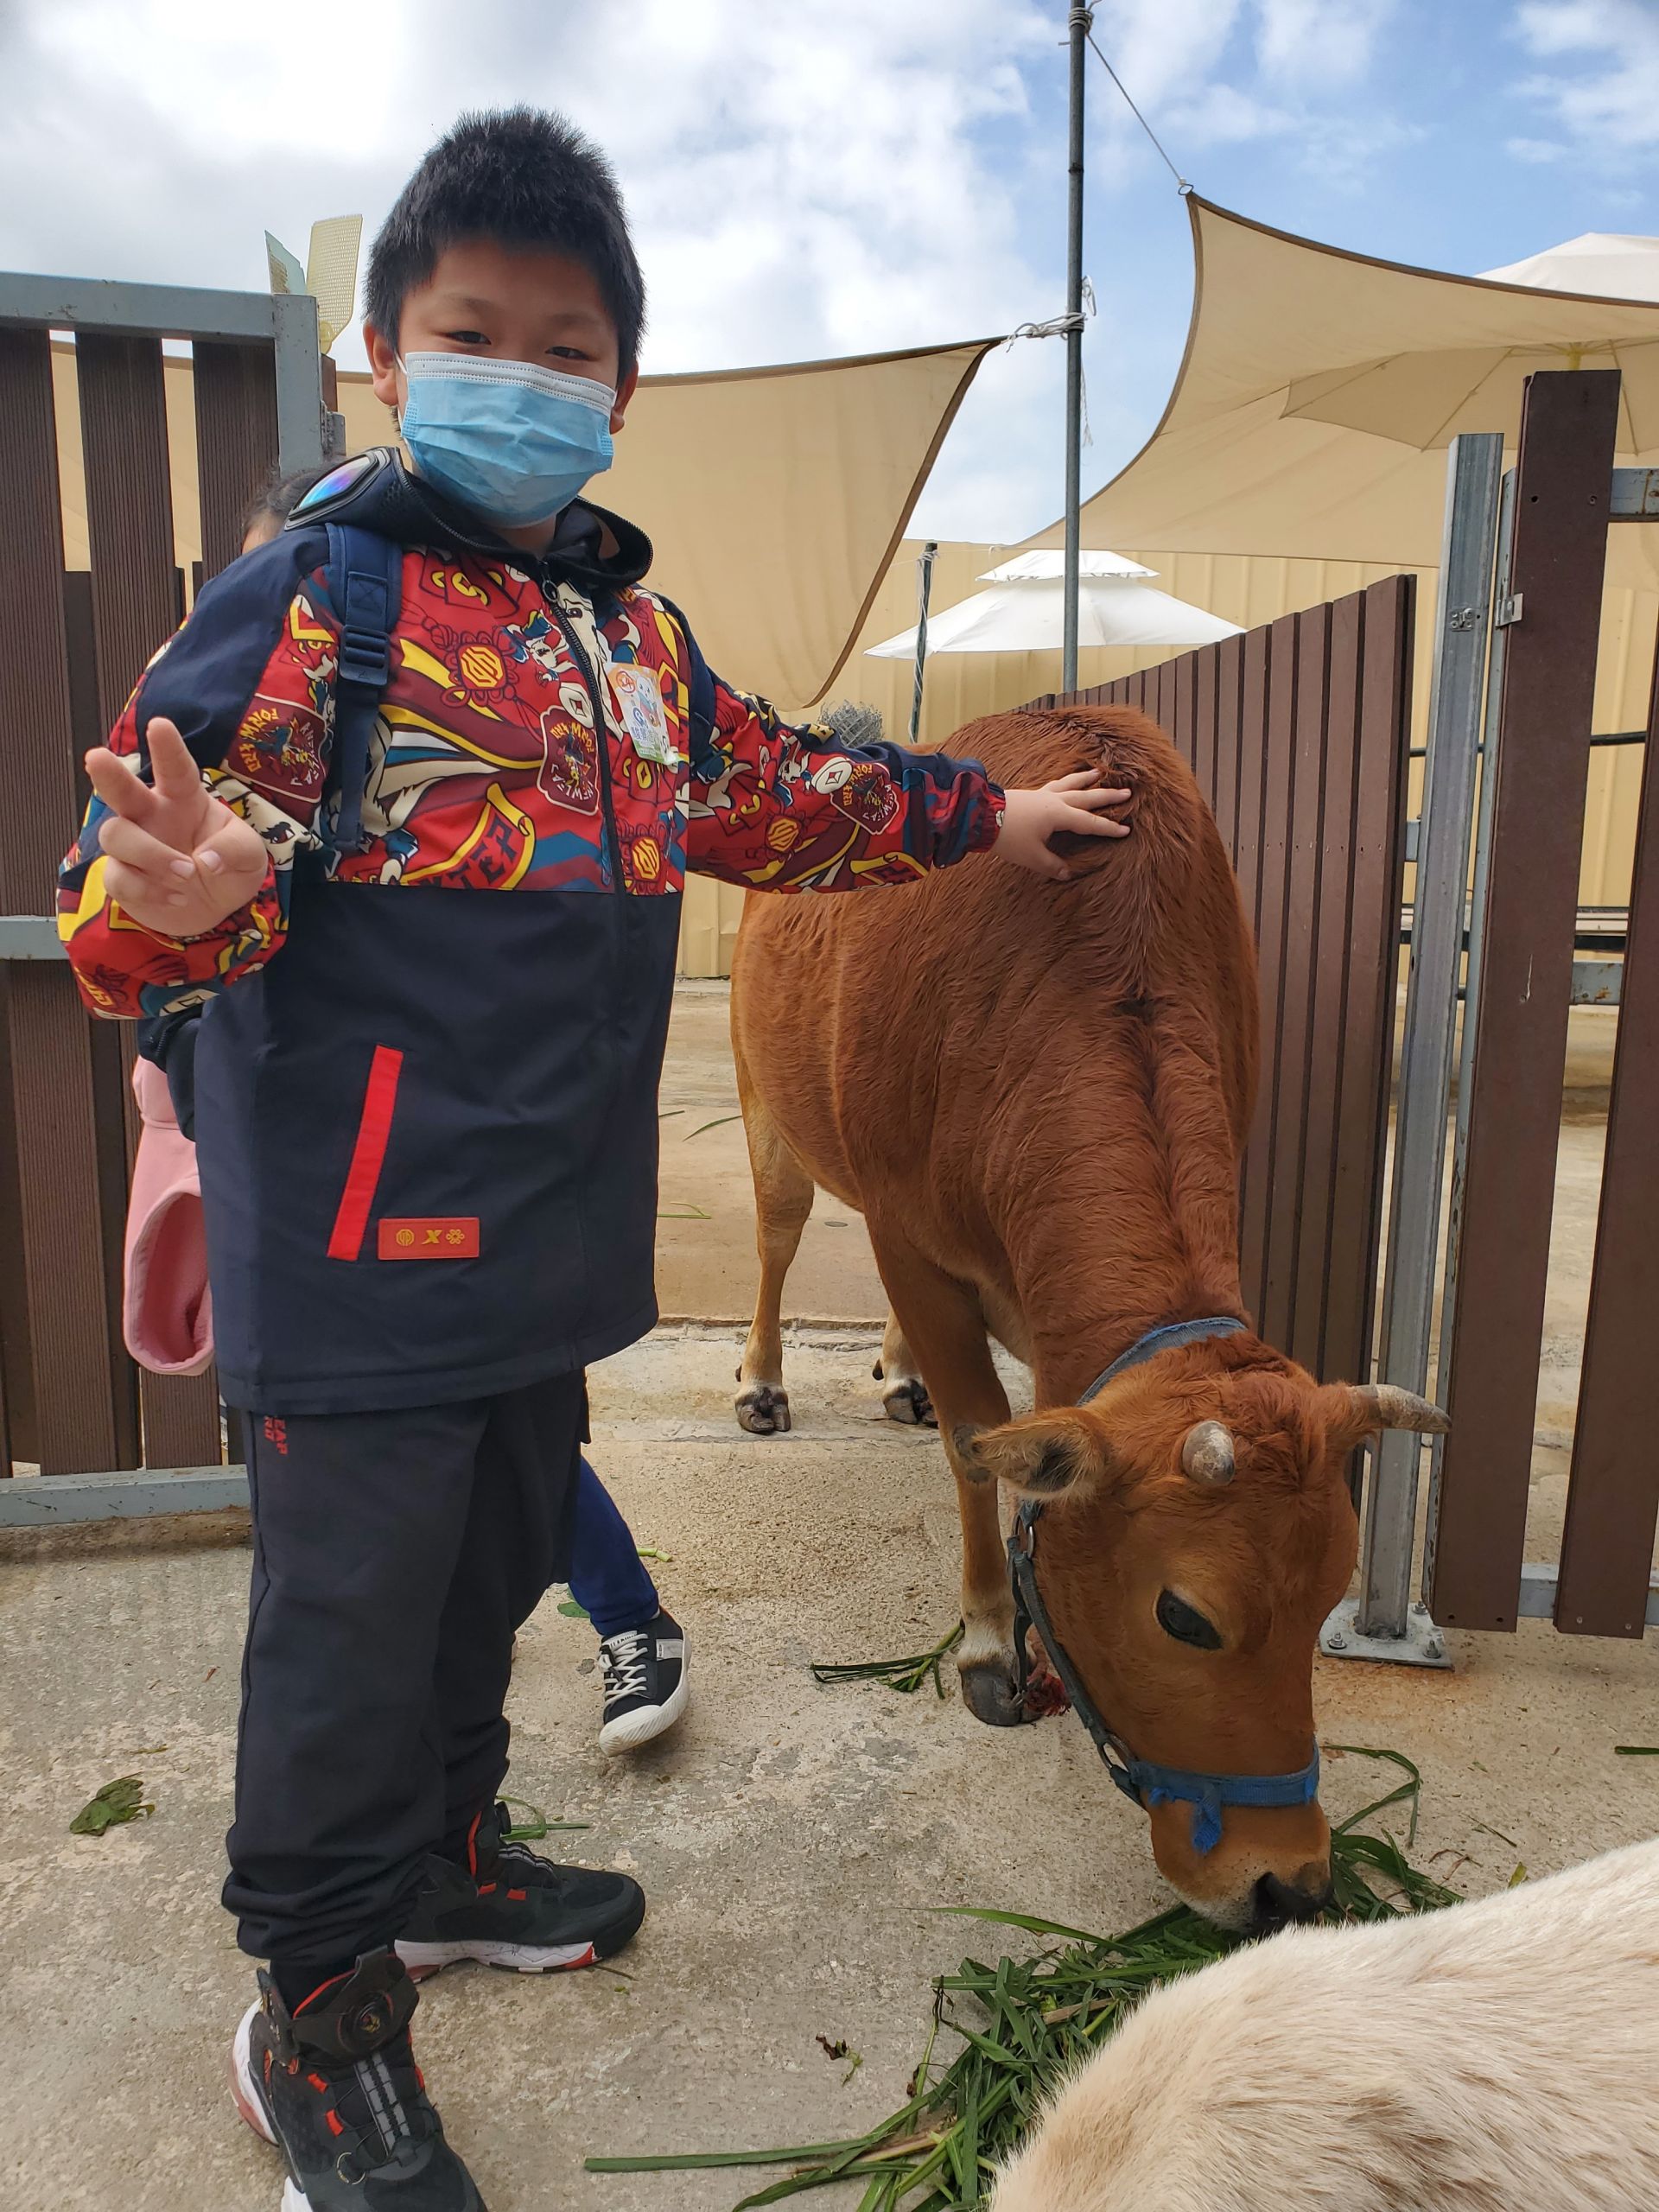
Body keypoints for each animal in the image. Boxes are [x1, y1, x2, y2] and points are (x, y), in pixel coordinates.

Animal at [729, 706, 1445, 1930]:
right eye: (1185, 1616)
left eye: (1331, 1596)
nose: (1287, 1883)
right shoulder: (914, 1237)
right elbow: (978, 1437)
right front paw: (987, 1645)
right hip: (766, 1107)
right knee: (779, 1239)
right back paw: (766, 1382)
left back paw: (896, 1373)